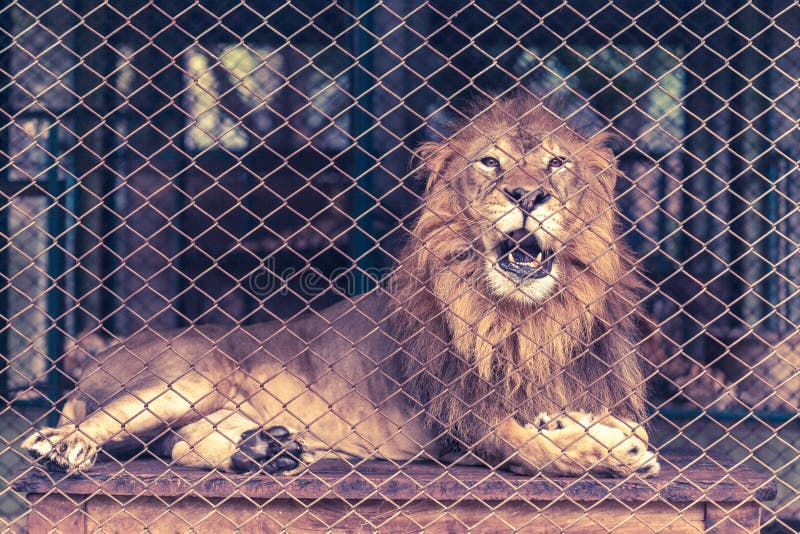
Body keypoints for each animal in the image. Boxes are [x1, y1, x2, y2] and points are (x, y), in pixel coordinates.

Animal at [21, 94, 664, 480]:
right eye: (490, 164)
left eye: (556, 164)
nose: (528, 195)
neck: (529, 316)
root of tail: (95, 359)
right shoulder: (458, 423)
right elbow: (530, 448)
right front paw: (612, 450)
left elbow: (578, 419)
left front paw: (594, 428)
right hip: (191, 373)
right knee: (90, 424)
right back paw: (61, 446)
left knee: (182, 447)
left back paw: (267, 448)